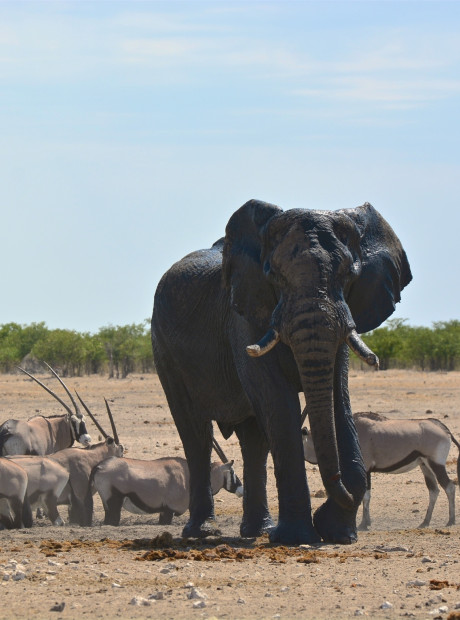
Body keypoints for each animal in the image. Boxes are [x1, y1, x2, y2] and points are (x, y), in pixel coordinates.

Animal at [152, 199, 414, 544]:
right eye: (275, 276)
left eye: (348, 275)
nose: (332, 501)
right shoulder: (243, 317)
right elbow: (278, 400)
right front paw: (298, 536)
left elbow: (337, 399)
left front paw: (337, 532)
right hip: (164, 351)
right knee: (195, 432)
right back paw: (202, 532)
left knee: (255, 441)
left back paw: (258, 530)